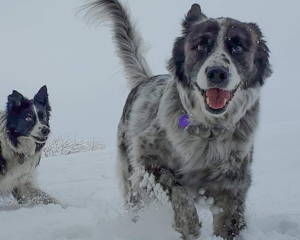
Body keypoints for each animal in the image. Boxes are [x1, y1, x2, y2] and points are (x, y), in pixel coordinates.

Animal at [85, 0, 272, 239]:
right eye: (201, 46)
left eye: (238, 47)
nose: (217, 73)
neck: (208, 130)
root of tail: (145, 79)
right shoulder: (147, 161)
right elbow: (176, 189)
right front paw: (188, 224)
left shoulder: (233, 187)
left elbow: (228, 223)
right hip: (132, 183)